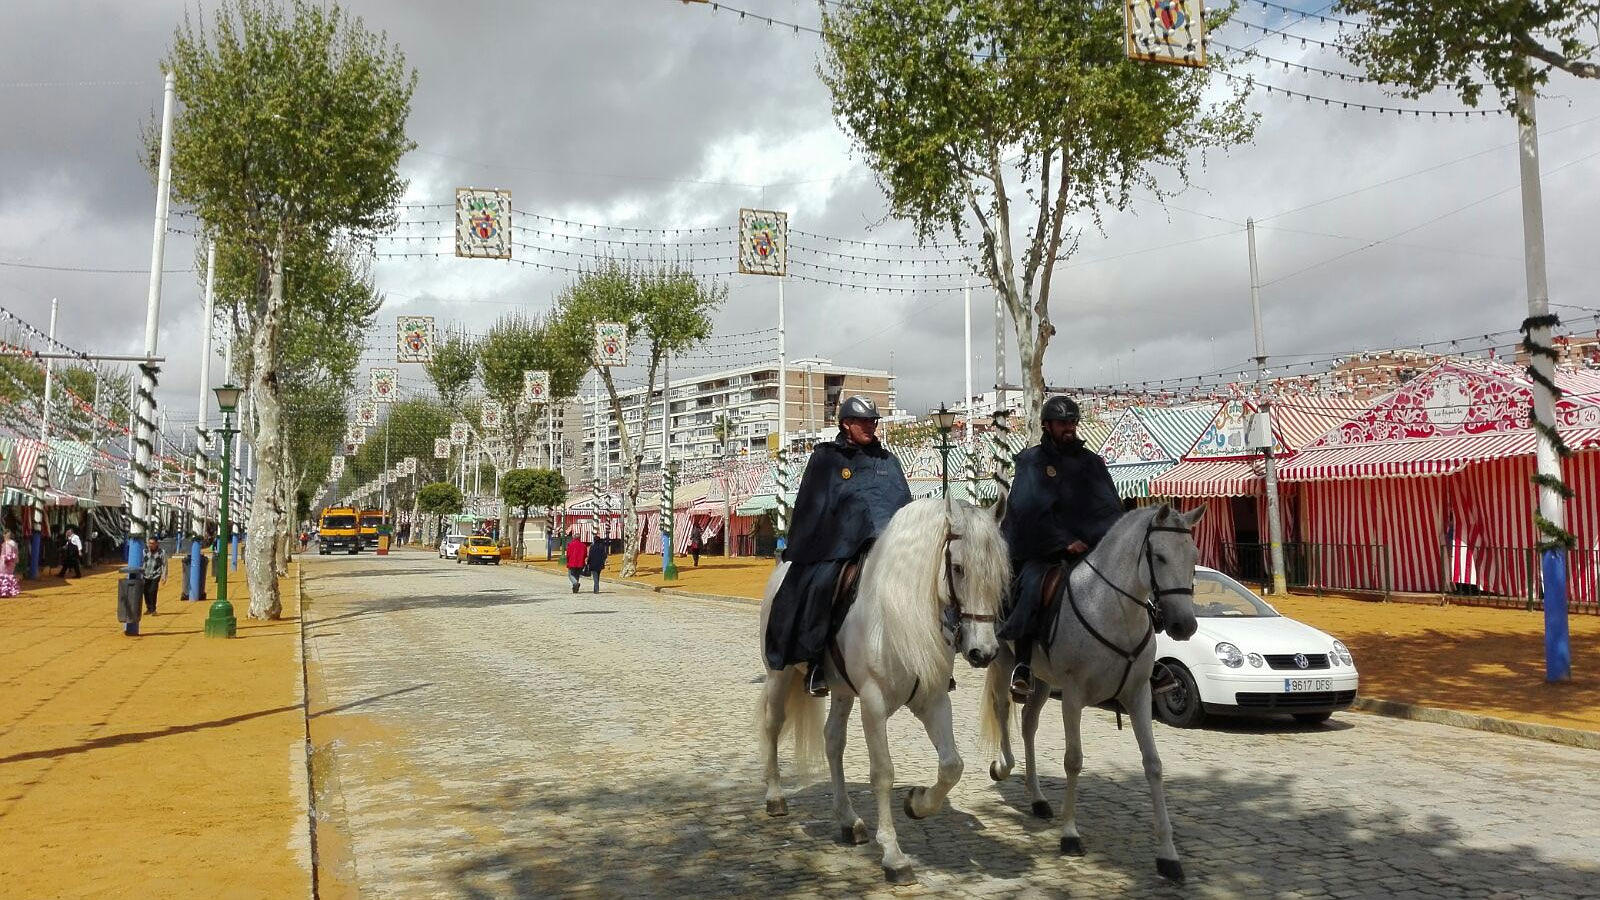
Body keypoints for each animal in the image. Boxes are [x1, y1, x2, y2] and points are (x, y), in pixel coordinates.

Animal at [761, 496, 1011, 883]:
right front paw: (894, 856)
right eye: (957, 568)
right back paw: (775, 798)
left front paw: (917, 804)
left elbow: (951, 765)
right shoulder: (874, 705)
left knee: (833, 741)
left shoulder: (933, 700)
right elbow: (883, 773)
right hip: (779, 674)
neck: (898, 616)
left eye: (1000, 573)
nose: (982, 652)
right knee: (773, 724)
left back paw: (849, 821)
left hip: (842, 692)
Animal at [979, 506, 1203, 883]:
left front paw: (1168, 855)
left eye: (1194, 556)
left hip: (1042, 680)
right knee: (1001, 708)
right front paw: (1070, 835)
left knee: (1028, 723)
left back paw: (1037, 798)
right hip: (1002, 660)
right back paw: (1003, 765)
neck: (1113, 609)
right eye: (1159, 556)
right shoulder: (1073, 696)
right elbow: (1073, 760)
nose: (1184, 625)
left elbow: (1153, 764)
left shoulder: (1139, 696)